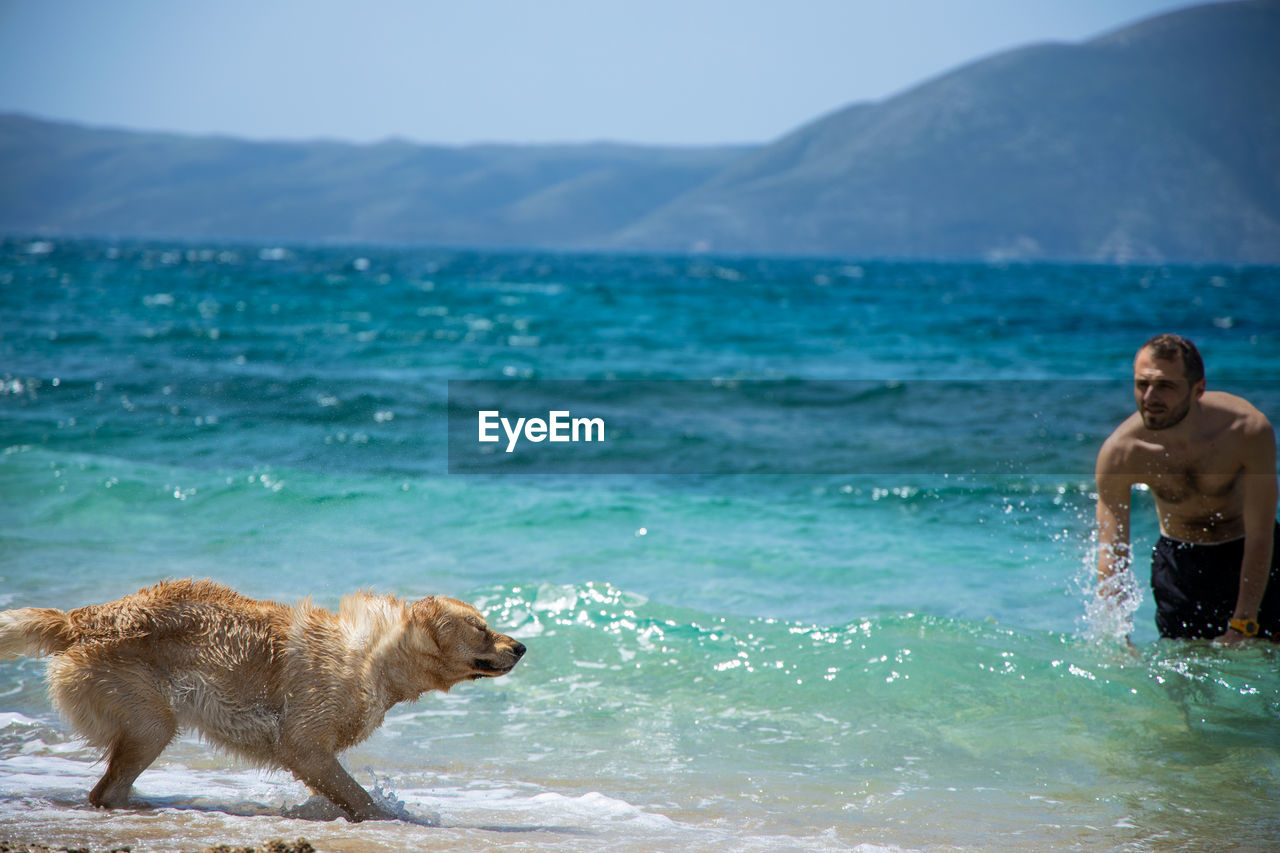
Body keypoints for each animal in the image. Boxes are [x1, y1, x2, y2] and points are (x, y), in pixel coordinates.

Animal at [0, 578, 524, 819]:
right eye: (481, 628)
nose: (521, 646)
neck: (373, 657)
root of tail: (78, 620)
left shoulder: (313, 754)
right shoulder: (304, 746)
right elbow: (357, 795)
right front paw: (392, 818)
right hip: (148, 717)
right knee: (109, 785)